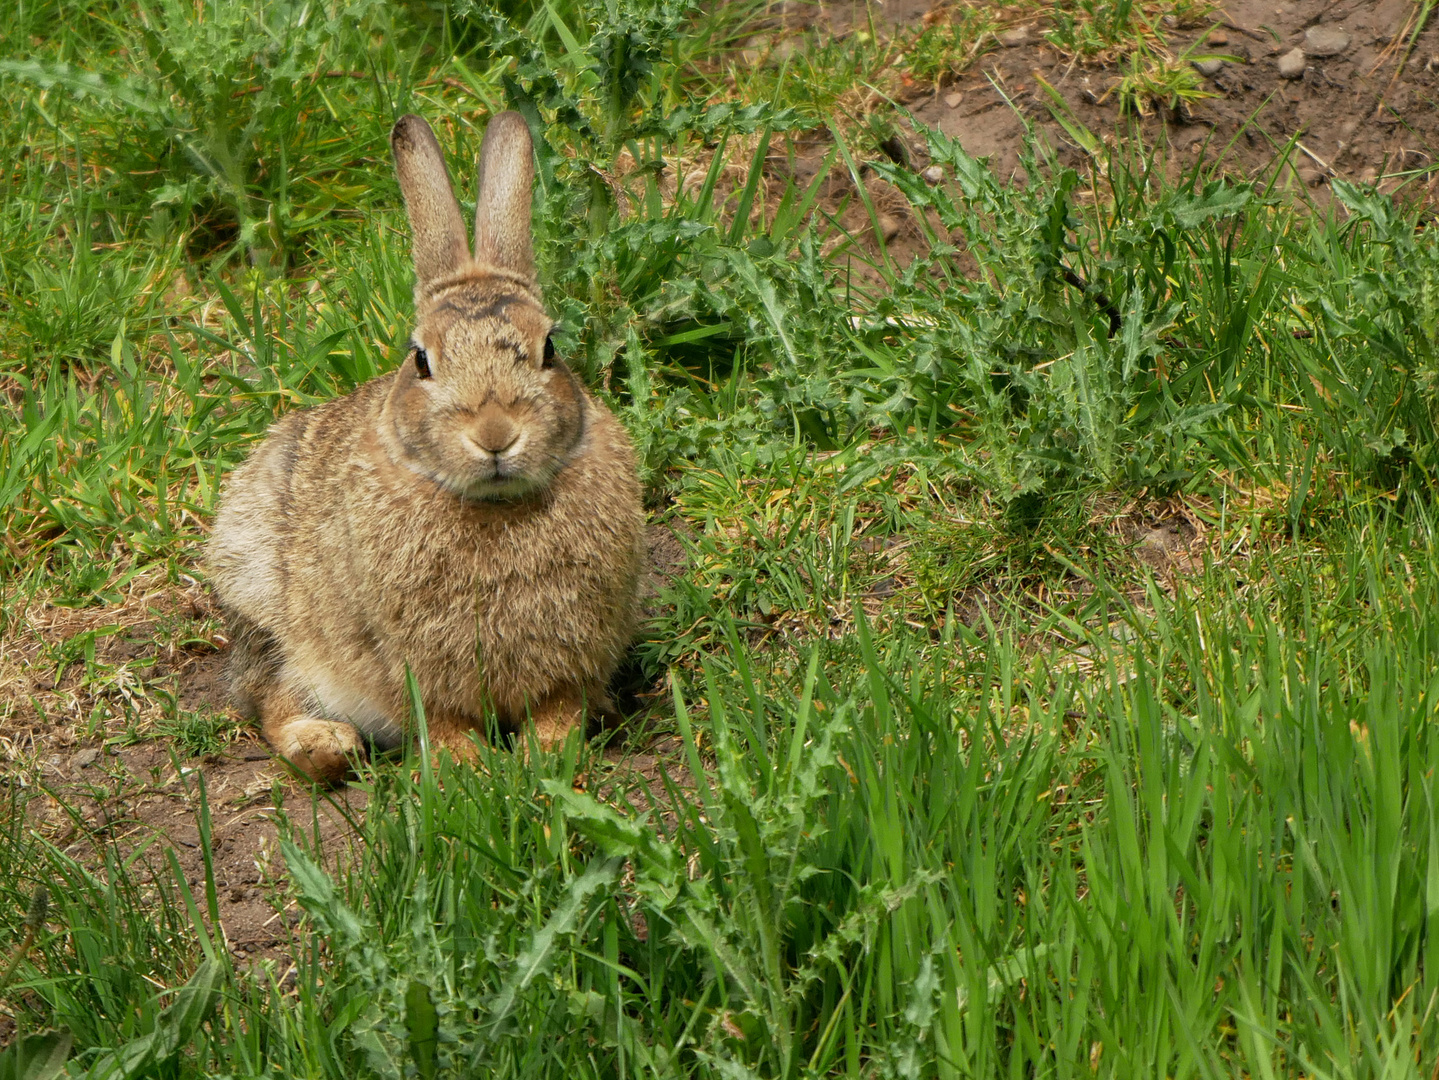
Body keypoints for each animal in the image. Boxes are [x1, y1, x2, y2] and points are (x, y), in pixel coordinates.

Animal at [204, 112, 647, 788]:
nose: (495, 434)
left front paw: (548, 754)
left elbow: (559, 706)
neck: (494, 507)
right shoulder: (407, 659)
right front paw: (469, 768)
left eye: (549, 348)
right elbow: (437, 717)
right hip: (263, 602)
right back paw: (325, 747)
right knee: (271, 696)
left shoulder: (575, 652)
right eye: (421, 360)